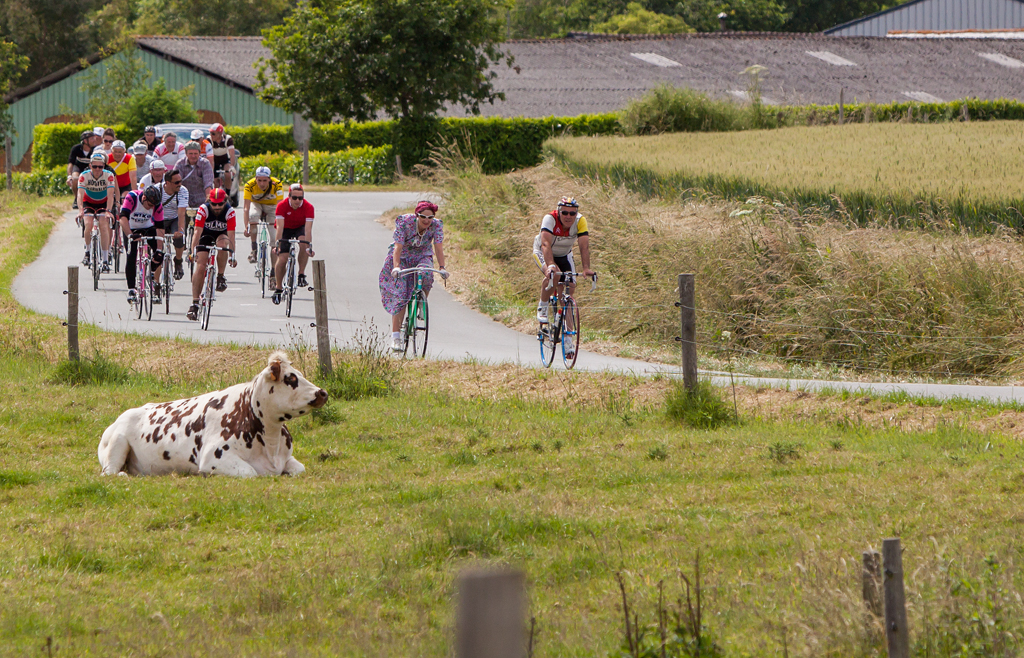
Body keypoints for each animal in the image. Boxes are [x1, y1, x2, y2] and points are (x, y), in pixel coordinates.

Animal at [98, 351, 328, 477]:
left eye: (299, 374)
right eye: (291, 378)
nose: (322, 392)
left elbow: (300, 468)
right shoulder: (214, 457)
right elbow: (250, 472)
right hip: (117, 444)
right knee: (109, 473)